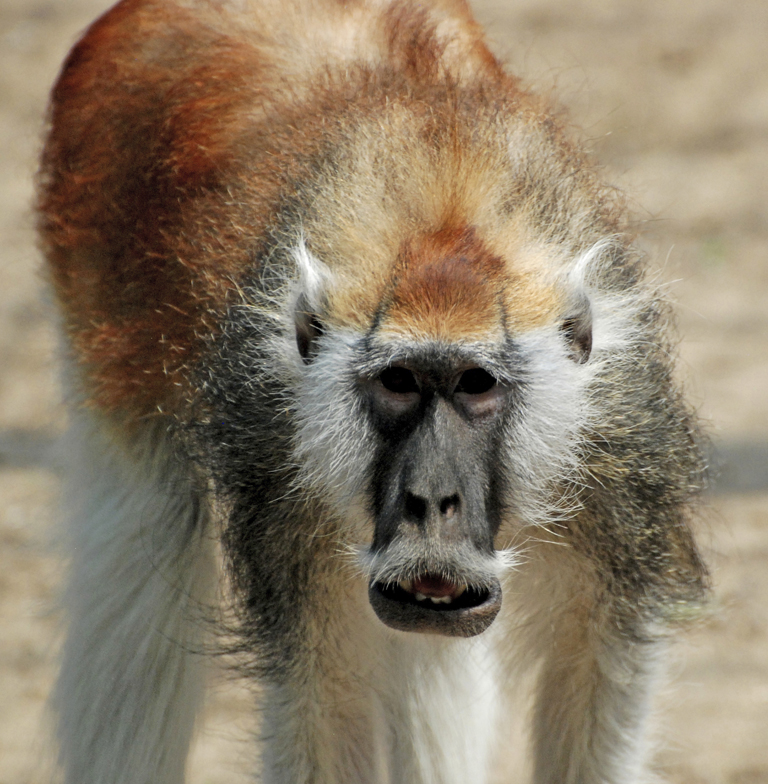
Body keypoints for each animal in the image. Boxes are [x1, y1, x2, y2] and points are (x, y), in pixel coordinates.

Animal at [36, 1, 708, 784]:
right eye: (398, 383)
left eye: (476, 385)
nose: (430, 499)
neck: (440, 198)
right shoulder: (278, 466)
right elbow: (325, 696)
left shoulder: (619, 449)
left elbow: (591, 672)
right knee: (143, 550)